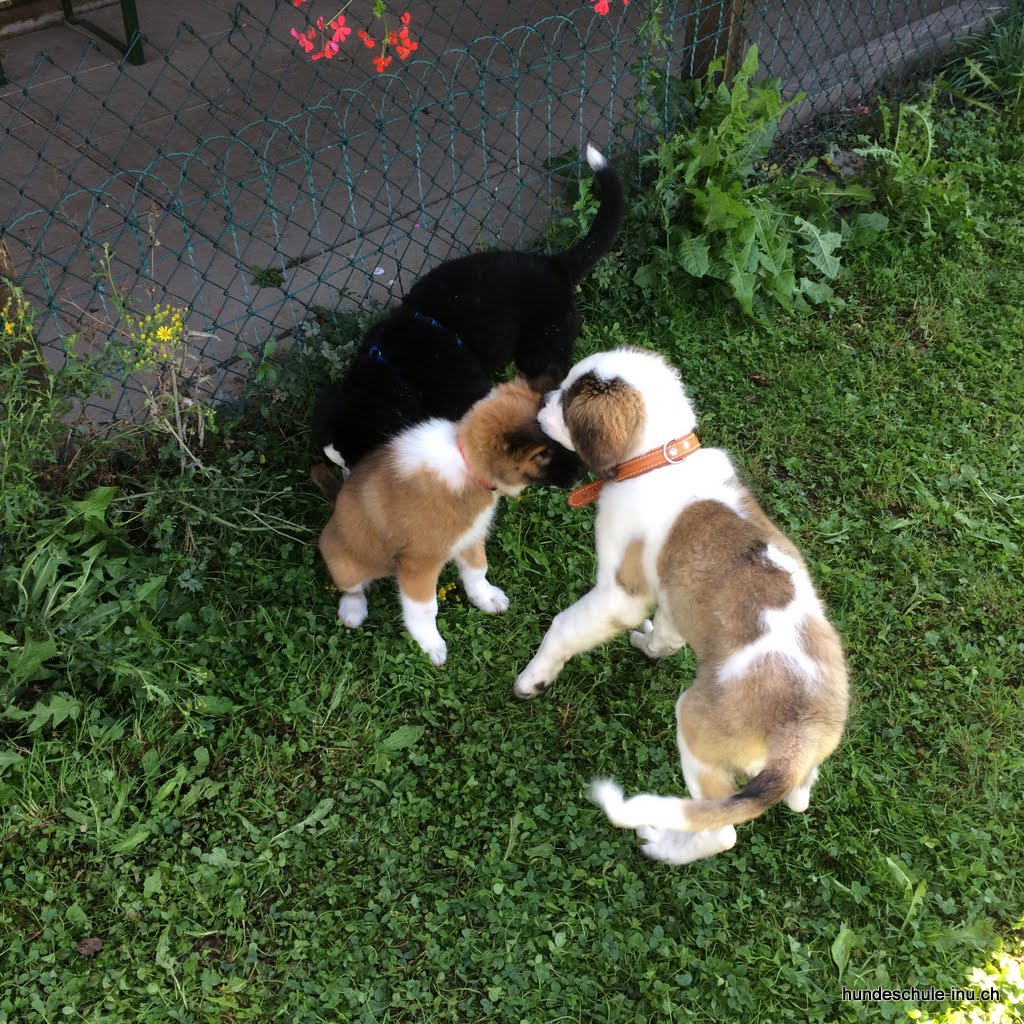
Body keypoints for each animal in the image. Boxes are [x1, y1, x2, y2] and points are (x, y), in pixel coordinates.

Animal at [318, 378, 571, 667]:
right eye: (547, 454)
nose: (581, 477)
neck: (466, 463)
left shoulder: (470, 537)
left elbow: (477, 571)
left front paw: (486, 598)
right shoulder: (419, 564)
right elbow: (425, 609)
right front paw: (430, 645)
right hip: (345, 565)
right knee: (352, 589)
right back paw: (353, 610)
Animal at [514, 347, 849, 864]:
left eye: (568, 400)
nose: (542, 401)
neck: (658, 459)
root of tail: (796, 739)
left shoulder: (620, 593)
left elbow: (563, 626)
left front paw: (534, 677)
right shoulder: (671, 589)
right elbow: (667, 631)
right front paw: (652, 646)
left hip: (695, 726)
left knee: (719, 829)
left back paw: (665, 846)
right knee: (797, 798)